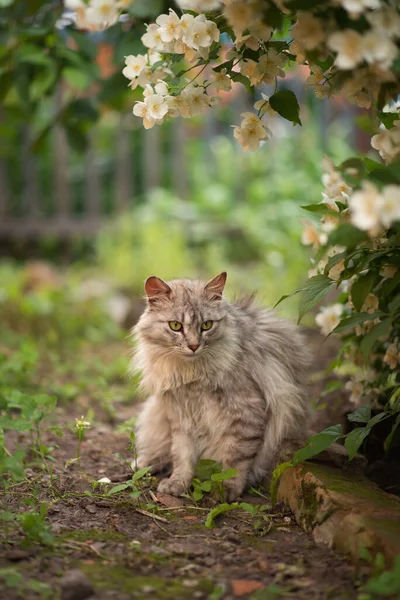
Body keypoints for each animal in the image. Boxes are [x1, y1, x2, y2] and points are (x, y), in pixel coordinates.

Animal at [131, 274, 310, 500]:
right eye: (175, 326)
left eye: (206, 325)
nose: (193, 346)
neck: (191, 375)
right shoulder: (180, 418)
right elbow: (182, 456)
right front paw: (178, 483)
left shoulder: (246, 414)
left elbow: (236, 460)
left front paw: (227, 490)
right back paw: (144, 464)